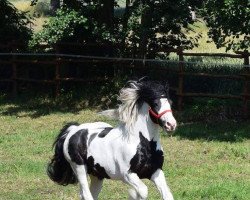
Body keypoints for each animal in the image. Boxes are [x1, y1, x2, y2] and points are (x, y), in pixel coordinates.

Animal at [47, 78, 177, 200]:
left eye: (170, 102)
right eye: (155, 103)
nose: (171, 125)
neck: (143, 144)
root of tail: (73, 130)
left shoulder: (156, 171)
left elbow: (167, 195)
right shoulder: (127, 175)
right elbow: (143, 191)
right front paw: (133, 194)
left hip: (97, 175)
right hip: (79, 168)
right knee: (86, 194)